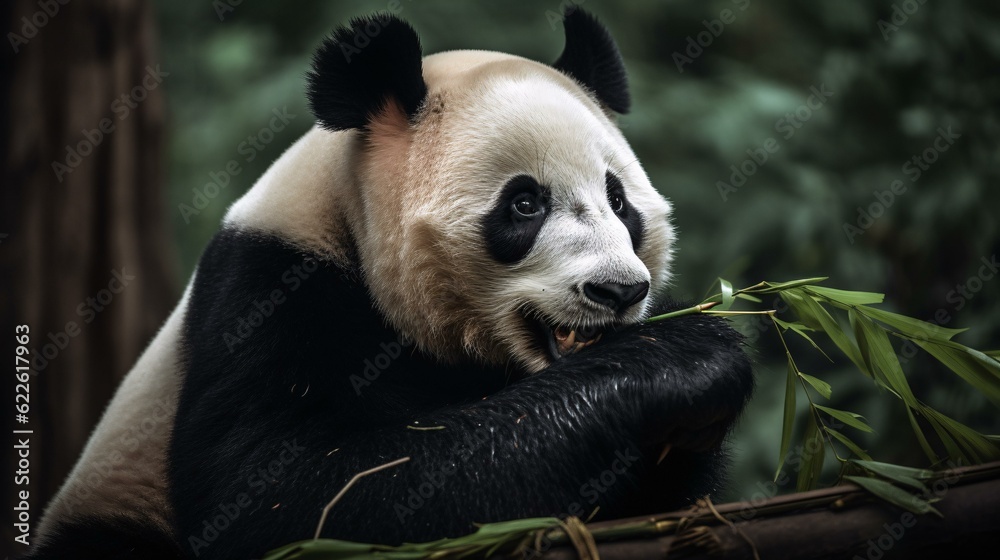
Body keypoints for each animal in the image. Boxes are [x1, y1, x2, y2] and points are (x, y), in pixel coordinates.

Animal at [30, 9, 752, 560]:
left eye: (620, 202)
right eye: (524, 204)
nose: (618, 291)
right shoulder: (270, 292)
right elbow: (289, 492)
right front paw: (678, 362)